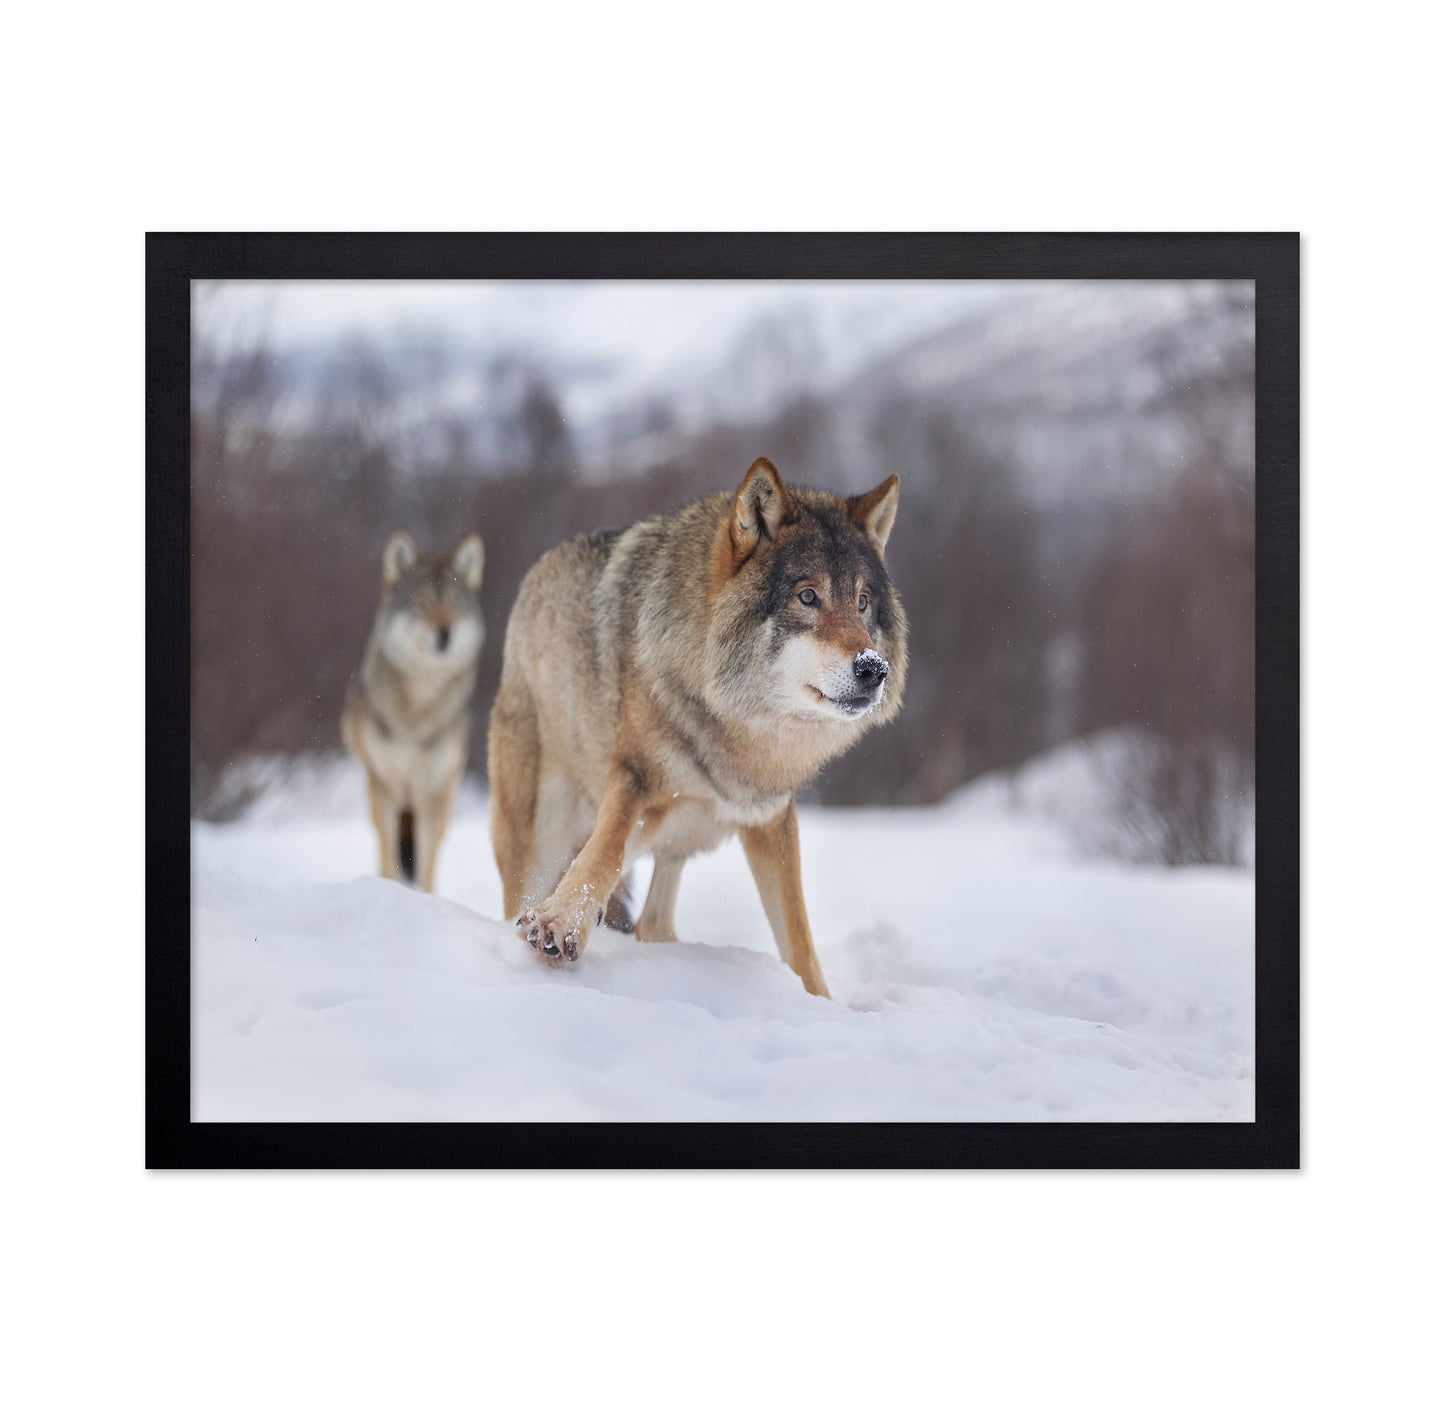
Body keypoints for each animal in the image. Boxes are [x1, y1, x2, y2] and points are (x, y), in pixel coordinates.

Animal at [342, 527, 485, 892]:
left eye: (454, 604)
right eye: (422, 604)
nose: (445, 634)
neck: (417, 710)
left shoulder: (431, 792)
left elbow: (427, 865)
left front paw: (425, 899)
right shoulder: (385, 785)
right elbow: (389, 855)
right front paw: (388, 890)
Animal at [487, 457, 906, 997]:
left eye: (862, 602)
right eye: (808, 597)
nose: (874, 669)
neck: (738, 727)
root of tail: (534, 579)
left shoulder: (770, 817)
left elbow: (799, 939)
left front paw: (821, 1004)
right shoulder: (635, 777)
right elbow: (603, 853)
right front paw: (559, 922)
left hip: (672, 839)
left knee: (652, 922)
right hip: (541, 835)